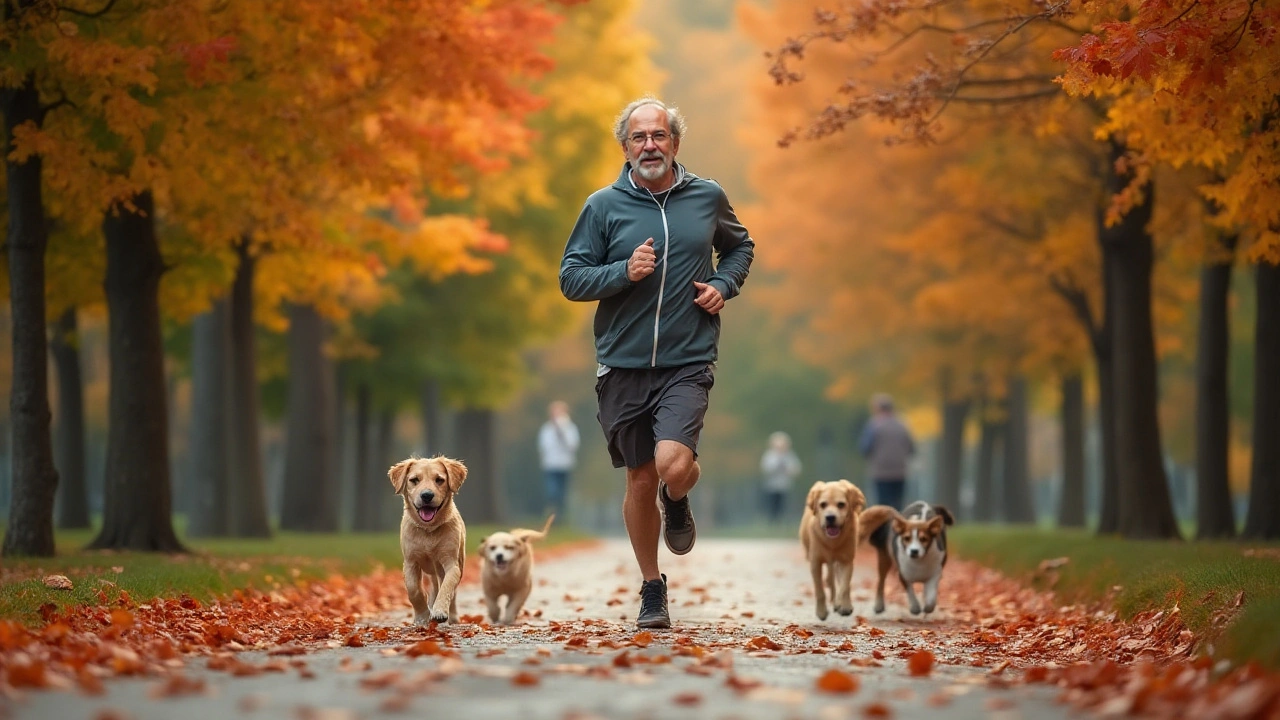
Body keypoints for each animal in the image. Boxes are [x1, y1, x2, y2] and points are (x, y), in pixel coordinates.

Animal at [389, 453, 476, 622]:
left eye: (439, 480)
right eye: (414, 480)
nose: (427, 495)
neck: (428, 530)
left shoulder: (452, 563)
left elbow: (447, 586)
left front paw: (440, 611)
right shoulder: (410, 561)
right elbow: (414, 590)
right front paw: (422, 616)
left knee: (449, 591)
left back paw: (452, 616)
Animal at [798, 476, 870, 617]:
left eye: (841, 504)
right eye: (823, 504)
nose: (830, 517)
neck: (832, 542)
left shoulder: (846, 560)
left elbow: (844, 586)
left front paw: (844, 606)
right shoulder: (815, 562)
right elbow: (819, 589)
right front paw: (821, 612)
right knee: (829, 580)